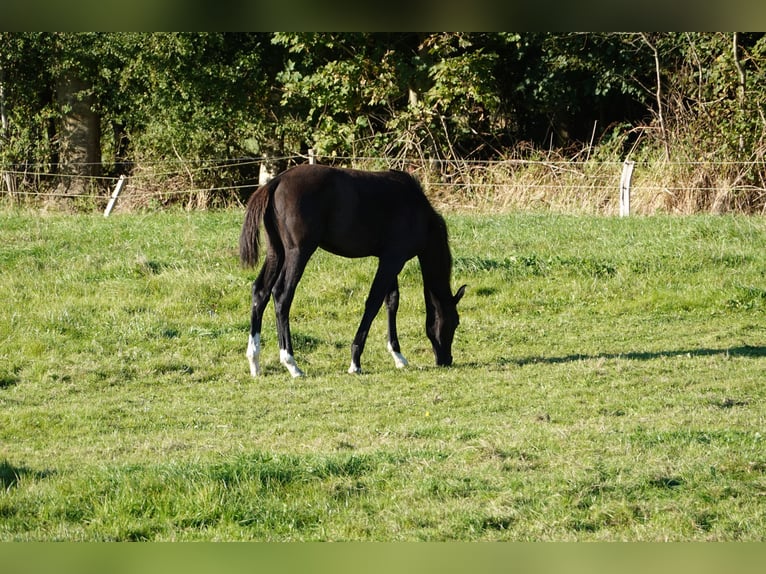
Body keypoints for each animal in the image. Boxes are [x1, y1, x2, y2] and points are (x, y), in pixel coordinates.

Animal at [240, 164, 468, 378]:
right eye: (455, 322)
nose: (446, 360)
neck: (417, 209)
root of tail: (276, 182)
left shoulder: (388, 259)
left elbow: (391, 301)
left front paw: (398, 356)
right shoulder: (393, 260)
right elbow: (373, 303)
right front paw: (355, 362)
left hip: (275, 252)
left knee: (260, 292)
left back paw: (254, 361)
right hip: (298, 253)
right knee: (282, 296)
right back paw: (292, 364)